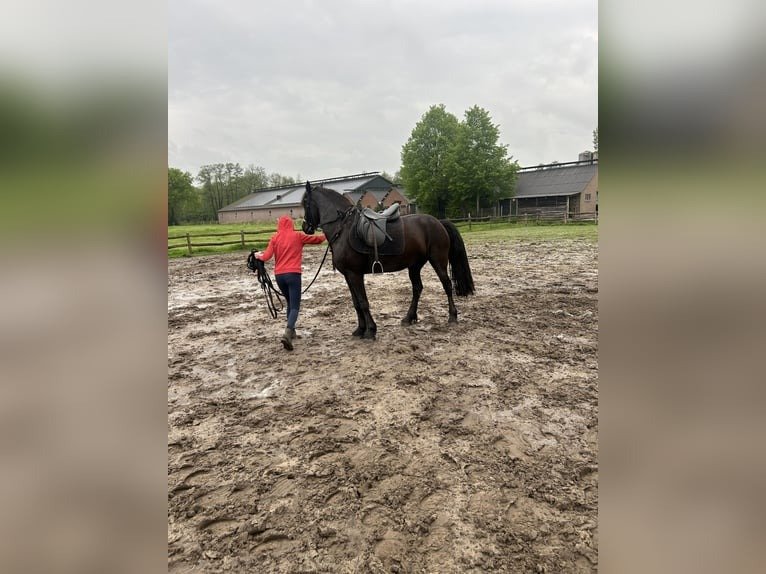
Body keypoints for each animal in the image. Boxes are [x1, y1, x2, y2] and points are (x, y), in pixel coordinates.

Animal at [301, 182, 475, 339]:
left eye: (305, 203)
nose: (305, 227)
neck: (343, 228)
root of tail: (438, 222)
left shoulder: (355, 274)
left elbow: (363, 302)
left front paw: (370, 330)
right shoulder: (348, 275)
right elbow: (356, 303)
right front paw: (360, 330)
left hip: (438, 261)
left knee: (447, 285)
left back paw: (452, 316)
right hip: (414, 266)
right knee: (417, 288)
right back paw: (409, 318)